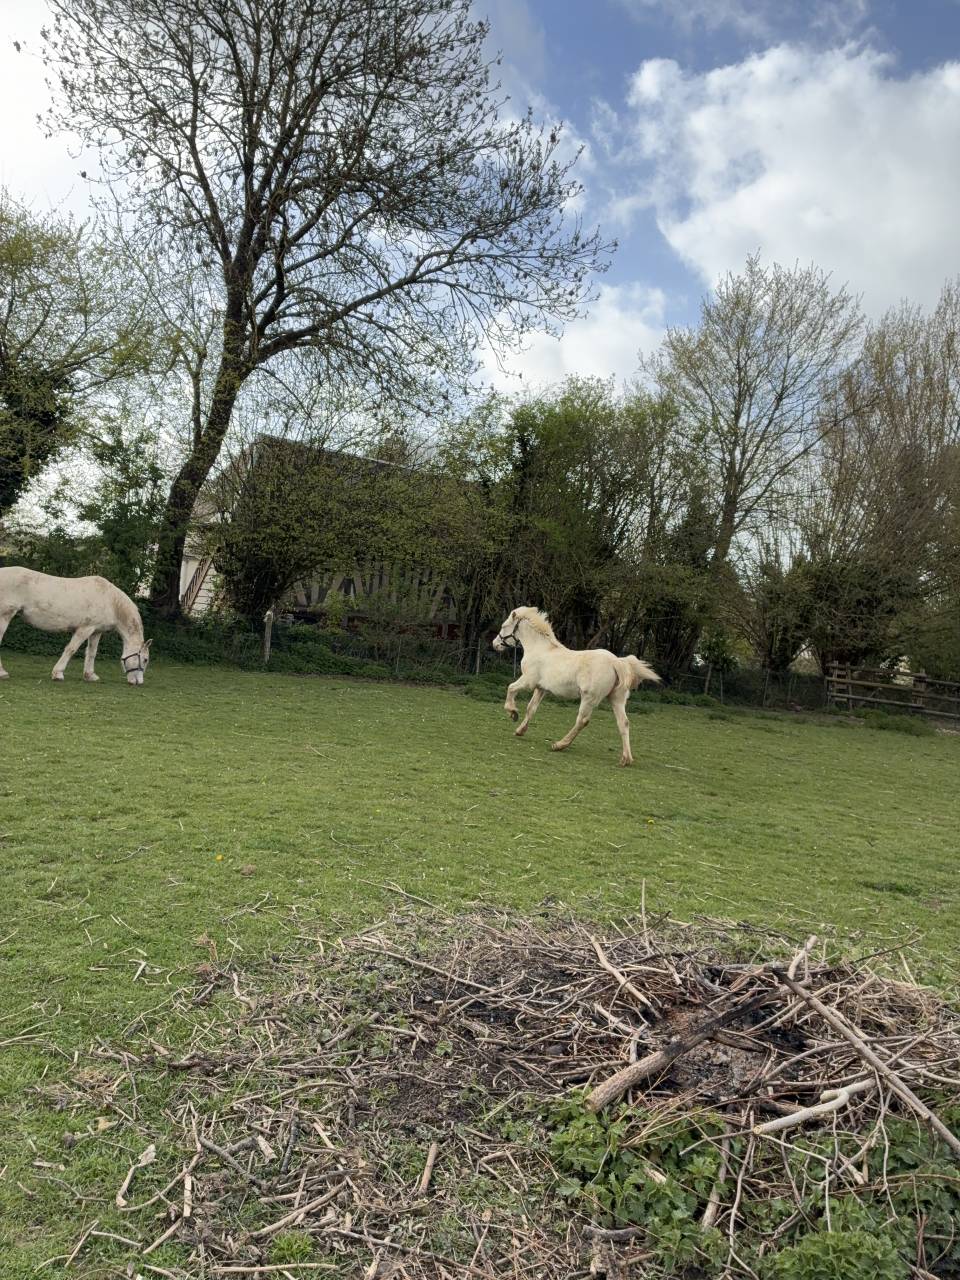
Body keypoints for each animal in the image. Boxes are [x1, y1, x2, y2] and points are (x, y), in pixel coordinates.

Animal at [0, 567, 152, 685]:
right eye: (145, 659)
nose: (138, 682)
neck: (111, 602)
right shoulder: (85, 629)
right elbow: (71, 649)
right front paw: (58, 674)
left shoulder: (96, 631)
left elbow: (92, 653)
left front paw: (90, 676)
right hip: (4, 616)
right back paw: (2, 673)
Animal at [493, 606, 660, 766]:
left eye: (504, 626)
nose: (495, 644)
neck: (540, 649)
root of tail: (615, 662)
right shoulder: (541, 688)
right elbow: (531, 709)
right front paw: (520, 730)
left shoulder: (528, 681)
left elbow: (511, 688)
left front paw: (513, 713)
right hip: (616, 699)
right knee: (623, 723)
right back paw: (626, 759)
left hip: (589, 698)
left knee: (582, 721)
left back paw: (559, 745)